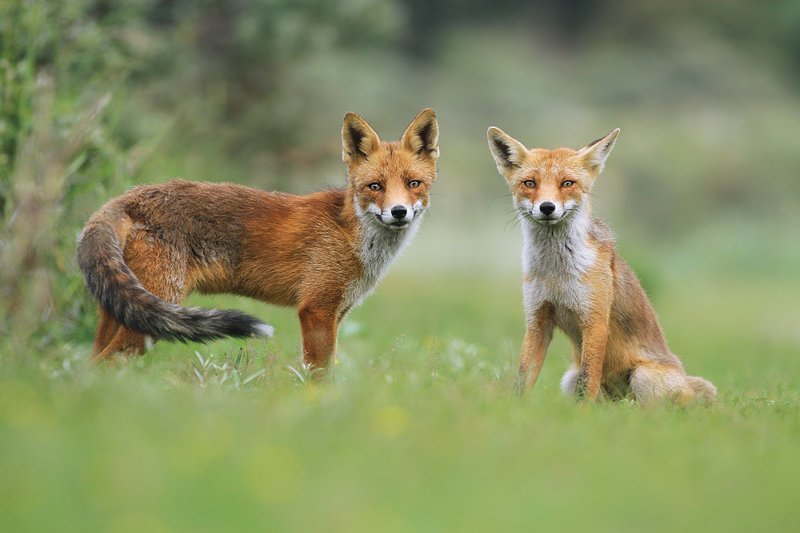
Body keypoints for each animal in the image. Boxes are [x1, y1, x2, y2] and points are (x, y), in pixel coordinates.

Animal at [78, 108, 440, 366]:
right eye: (375, 186)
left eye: (413, 184)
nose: (398, 212)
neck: (352, 235)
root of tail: (129, 196)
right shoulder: (316, 309)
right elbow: (319, 376)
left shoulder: (339, 312)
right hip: (154, 313)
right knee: (105, 362)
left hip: (121, 310)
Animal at [488, 125, 720, 404]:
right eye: (530, 183)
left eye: (567, 183)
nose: (547, 207)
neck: (557, 273)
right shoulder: (537, 320)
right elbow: (523, 377)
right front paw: (517, 406)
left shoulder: (595, 322)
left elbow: (588, 381)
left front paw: (583, 413)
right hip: (568, 380)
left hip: (643, 378)